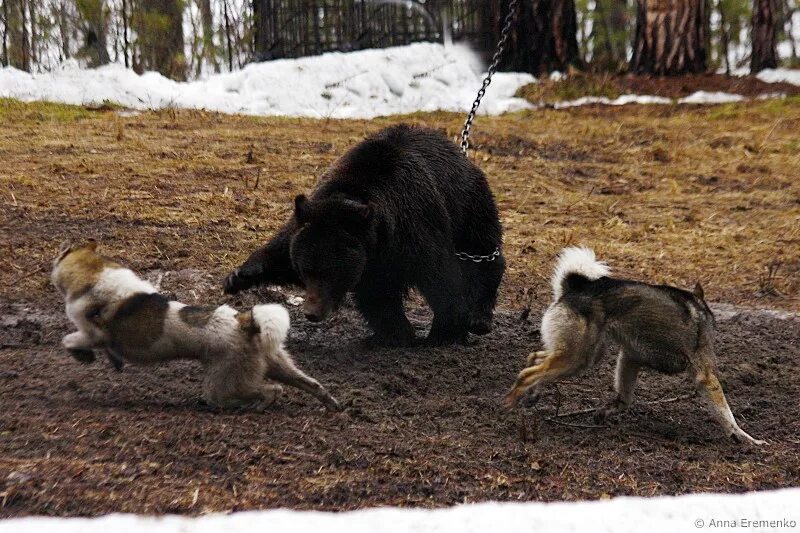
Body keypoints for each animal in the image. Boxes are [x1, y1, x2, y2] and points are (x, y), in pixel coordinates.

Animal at [50, 239, 338, 410]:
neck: (95, 277)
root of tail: (246, 322)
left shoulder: (93, 333)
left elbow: (69, 340)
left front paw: (83, 356)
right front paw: (112, 362)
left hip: (223, 385)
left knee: (269, 391)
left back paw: (254, 405)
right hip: (276, 364)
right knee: (310, 383)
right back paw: (332, 404)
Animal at [222, 124, 504, 344]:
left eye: (330, 272)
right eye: (305, 271)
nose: (311, 312)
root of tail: (458, 149)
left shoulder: (415, 229)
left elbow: (440, 277)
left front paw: (445, 332)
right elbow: (282, 252)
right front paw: (238, 277)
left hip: (469, 205)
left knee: (482, 255)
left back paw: (479, 317)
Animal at [506, 246, 764, 444]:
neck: (700, 310)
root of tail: (576, 287)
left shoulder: (630, 358)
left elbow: (624, 399)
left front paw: (603, 414)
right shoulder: (705, 376)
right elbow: (726, 413)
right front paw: (746, 438)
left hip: (582, 357)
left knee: (535, 359)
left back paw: (532, 395)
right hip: (577, 358)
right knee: (529, 372)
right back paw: (510, 402)